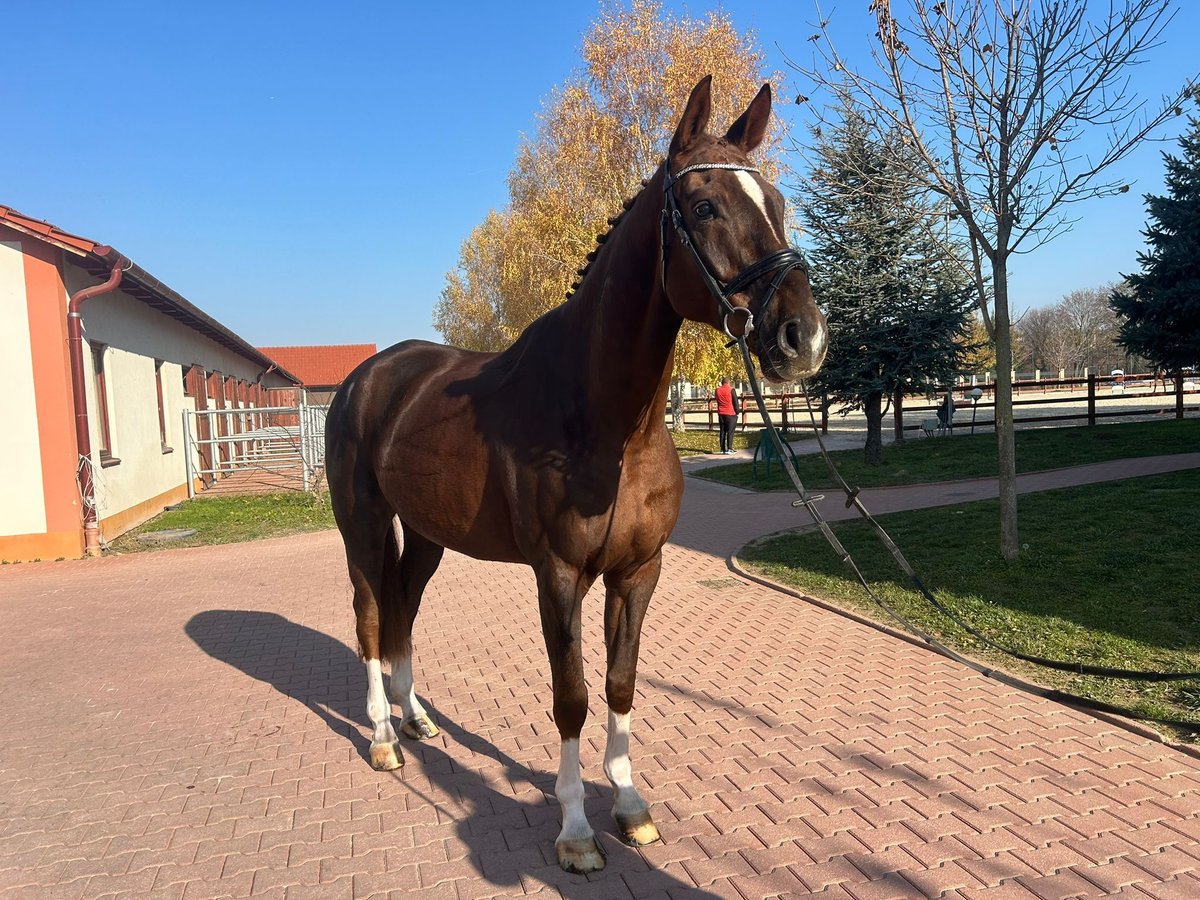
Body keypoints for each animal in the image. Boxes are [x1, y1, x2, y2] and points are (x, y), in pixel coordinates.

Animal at [324, 77, 830, 873]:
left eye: (777, 203)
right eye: (705, 206)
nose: (801, 337)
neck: (608, 422)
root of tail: (367, 378)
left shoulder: (638, 571)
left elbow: (620, 686)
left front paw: (629, 807)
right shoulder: (558, 575)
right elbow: (572, 696)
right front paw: (574, 831)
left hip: (429, 534)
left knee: (404, 606)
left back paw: (417, 720)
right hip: (364, 523)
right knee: (372, 612)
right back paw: (380, 738)